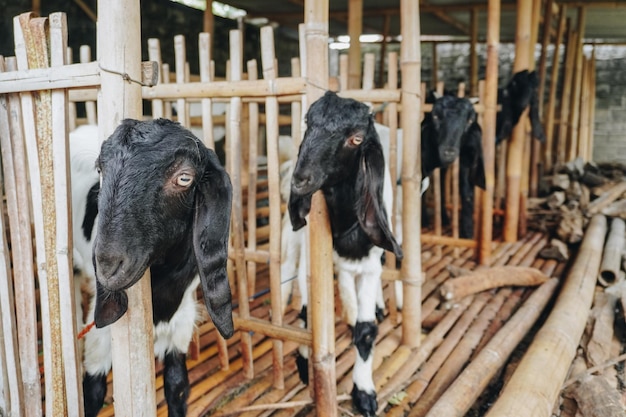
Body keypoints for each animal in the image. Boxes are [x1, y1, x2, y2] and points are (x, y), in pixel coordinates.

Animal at [69, 118, 234, 416]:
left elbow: (177, 385)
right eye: (100, 169)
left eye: (184, 178)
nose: (108, 266)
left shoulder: (182, 320)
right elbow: (94, 390)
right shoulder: (101, 335)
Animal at [286, 92, 402, 416]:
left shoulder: (370, 264)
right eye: (308, 121)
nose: (300, 179)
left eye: (356, 138)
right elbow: (307, 313)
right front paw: (304, 362)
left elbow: (366, 330)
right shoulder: (310, 261)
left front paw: (364, 392)